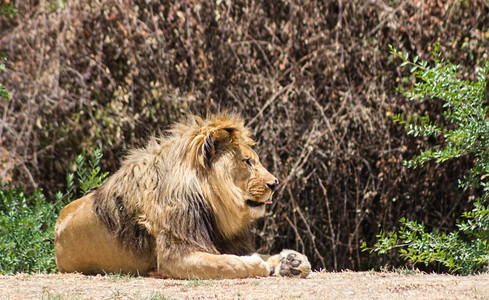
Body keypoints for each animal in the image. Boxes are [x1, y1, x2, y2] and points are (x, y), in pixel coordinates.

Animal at [53, 112, 310, 278]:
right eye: (247, 161)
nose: (274, 183)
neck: (212, 204)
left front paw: (292, 262)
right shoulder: (175, 256)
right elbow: (228, 264)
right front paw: (261, 265)